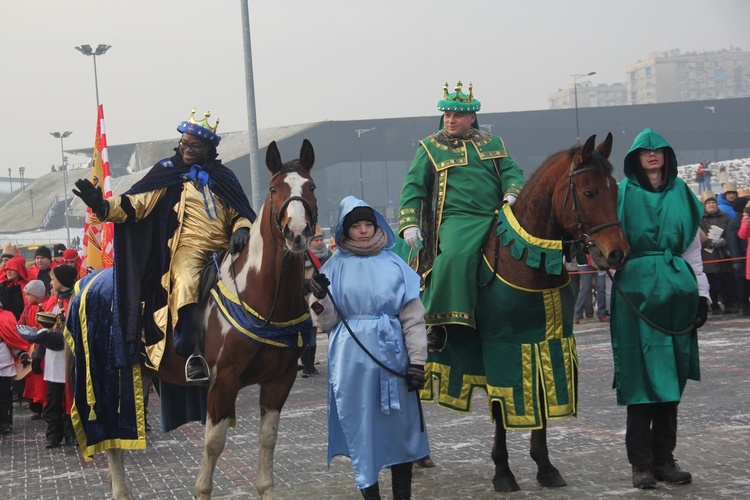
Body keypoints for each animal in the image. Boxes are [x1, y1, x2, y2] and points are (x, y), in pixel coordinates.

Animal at [71, 139, 318, 498]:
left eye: (311, 187)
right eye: (274, 189)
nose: (297, 233)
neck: (263, 296)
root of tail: (88, 282)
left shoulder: (279, 382)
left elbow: (268, 441)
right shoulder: (223, 382)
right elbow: (213, 445)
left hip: (142, 375)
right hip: (109, 376)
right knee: (113, 439)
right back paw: (120, 490)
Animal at [426, 133, 632, 492]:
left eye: (615, 190)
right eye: (589, 192)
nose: (616, 253)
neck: (524, 258)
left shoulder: (548, 342)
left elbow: (545, 397)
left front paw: (545, 465)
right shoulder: (503, 348)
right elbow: (502, 407)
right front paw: (503, 471)